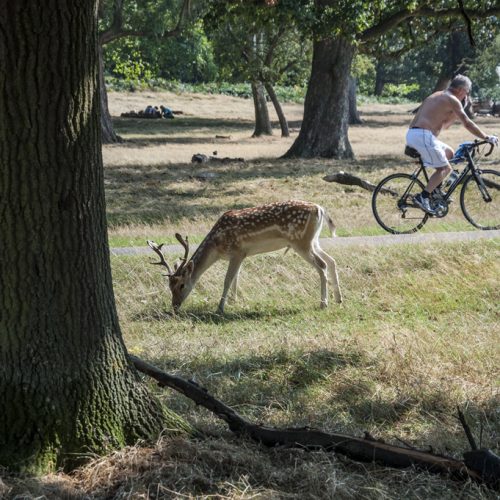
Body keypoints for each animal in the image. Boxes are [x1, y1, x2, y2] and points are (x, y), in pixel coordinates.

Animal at [146, 199, 342, 312]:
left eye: (181, 285)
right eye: (169, 286)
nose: (174, 306)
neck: (217, 246)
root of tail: (319, 209)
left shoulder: (237, 251)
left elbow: (228, 279)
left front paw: (220, 307)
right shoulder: (242, 255)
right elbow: (236, 278)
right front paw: (233, 301)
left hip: (300, 242)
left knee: (322, 264)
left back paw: (323, 303)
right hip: (312, 240)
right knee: (332, 260)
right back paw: (339, 299)